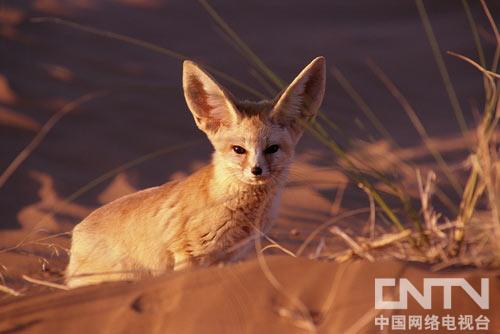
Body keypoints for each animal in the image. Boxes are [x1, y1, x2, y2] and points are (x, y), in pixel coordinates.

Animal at [65, 56, 324, 286]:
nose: (256, 170)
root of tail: (76, 233)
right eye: (238, 150)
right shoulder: (189, 254)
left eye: (272, 149)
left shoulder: (230, 258)